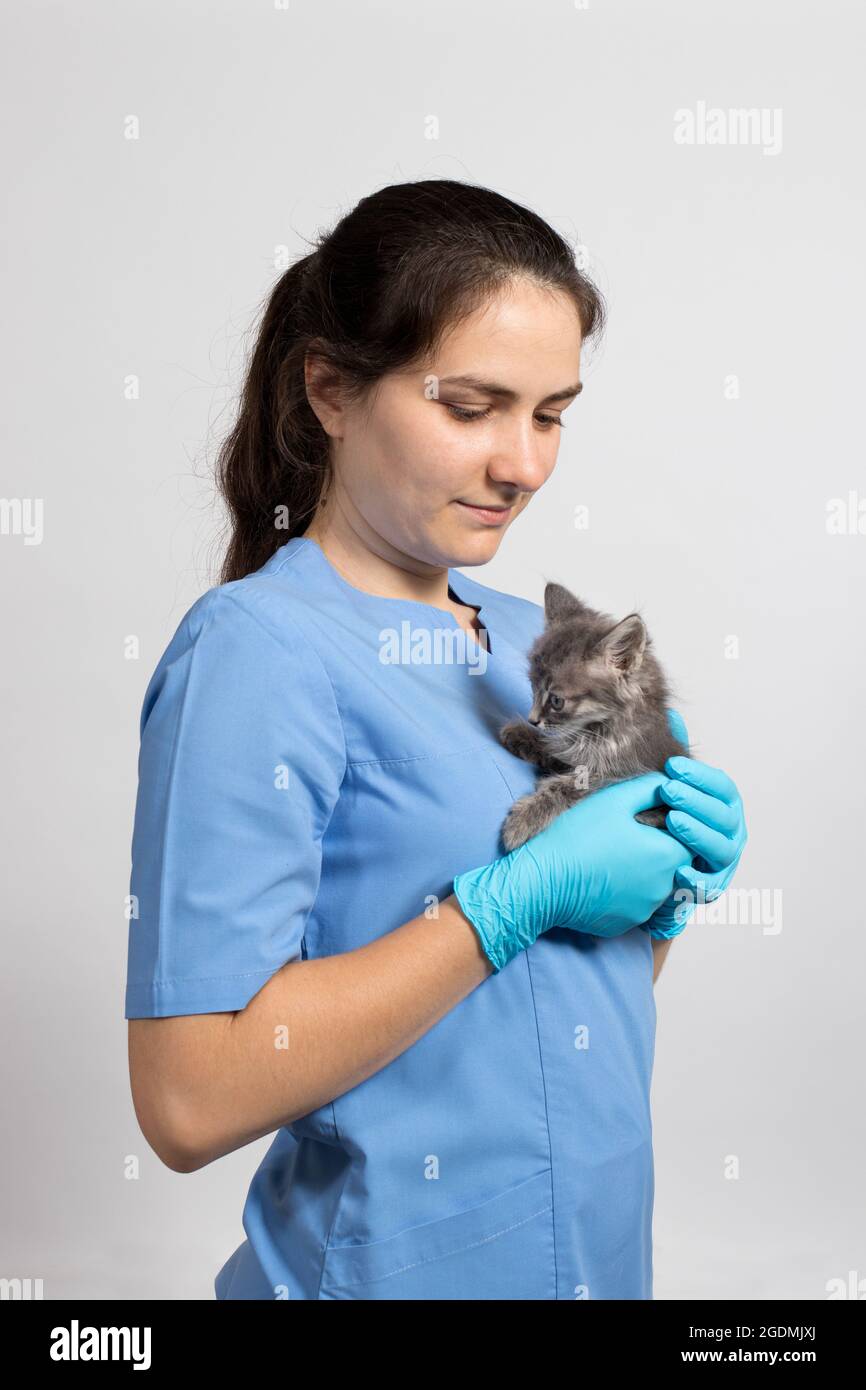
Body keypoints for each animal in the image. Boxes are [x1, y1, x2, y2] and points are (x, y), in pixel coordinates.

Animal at [500, 581, 692, 850]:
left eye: (556, 701)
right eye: (533, 687)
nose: (532, 719)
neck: (598, 730)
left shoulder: (624, 770)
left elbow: (568, 785)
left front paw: (524, 819)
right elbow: (558, 747)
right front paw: (521, 735)